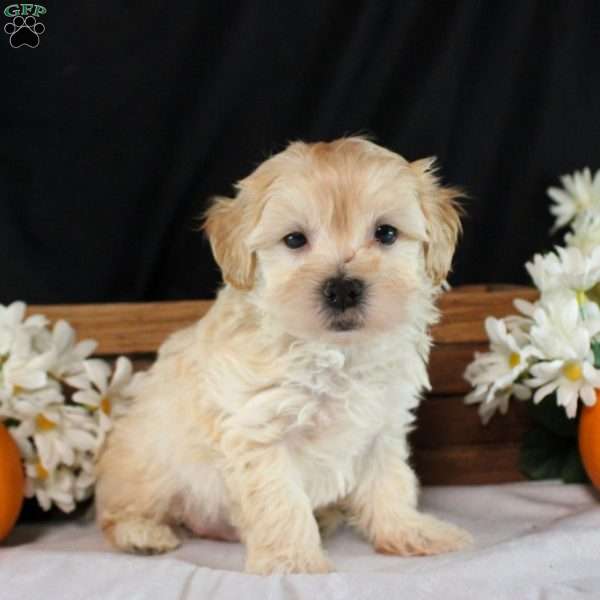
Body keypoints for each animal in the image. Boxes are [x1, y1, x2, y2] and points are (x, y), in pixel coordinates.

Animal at [96, 137, 472, 576]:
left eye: (386, 233)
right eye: (294, 240)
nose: (343, 289)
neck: (334, 353)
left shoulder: (382, 427)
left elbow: (390, 484)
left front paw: (409, 532)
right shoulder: (259, 432)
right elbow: (281, 504)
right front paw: (292, 562)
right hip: (147, 465)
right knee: (119, 510)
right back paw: (142, 533)